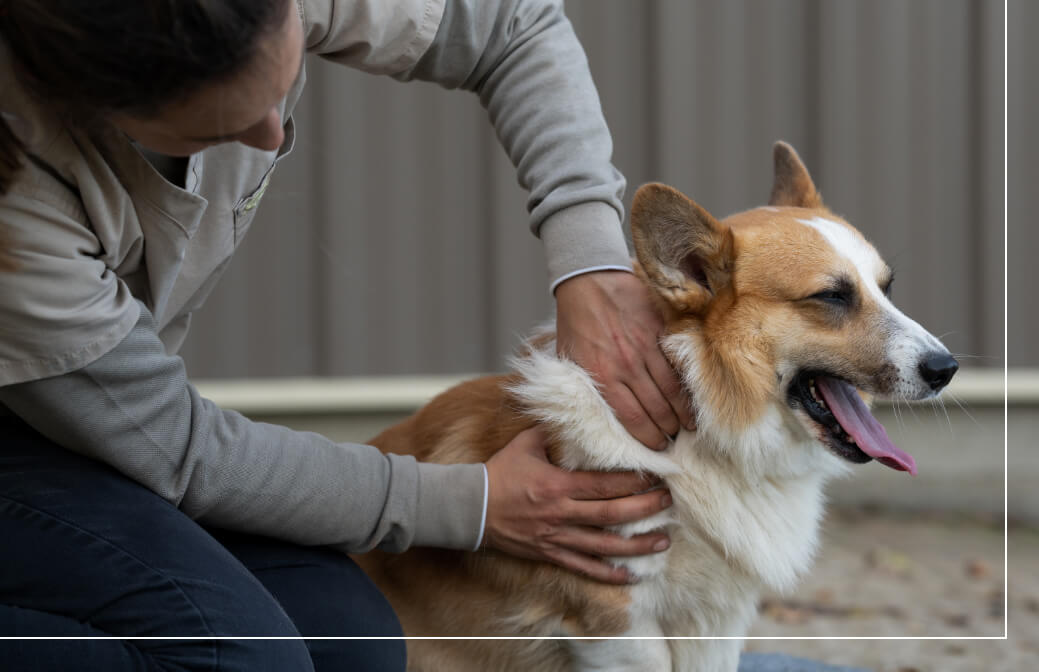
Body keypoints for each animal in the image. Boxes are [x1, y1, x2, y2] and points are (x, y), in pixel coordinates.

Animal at [357, 143, 955, 672]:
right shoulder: (617, 618)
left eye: (886, 288)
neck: (703, 432)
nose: (945, 368)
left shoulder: (716, 622)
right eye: (831, 296)